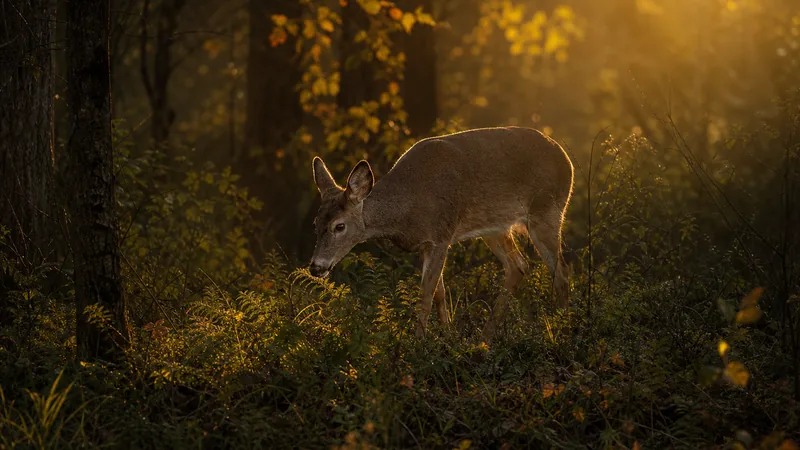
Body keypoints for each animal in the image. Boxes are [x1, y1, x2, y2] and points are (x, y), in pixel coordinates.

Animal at [308, 126, 574, 343]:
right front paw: (448, 337)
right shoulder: (426, 244)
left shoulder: (440, 235)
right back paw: (484, 340)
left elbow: (426, 295)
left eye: (339, 226)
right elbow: (440, 293)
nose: (316, 267)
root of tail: (566, 159)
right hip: (496, 226)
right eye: (315, 222)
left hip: (547, 211)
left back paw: (564, 330)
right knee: (519, 266)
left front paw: (418, 345)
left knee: (561, 273)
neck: (407, 208)